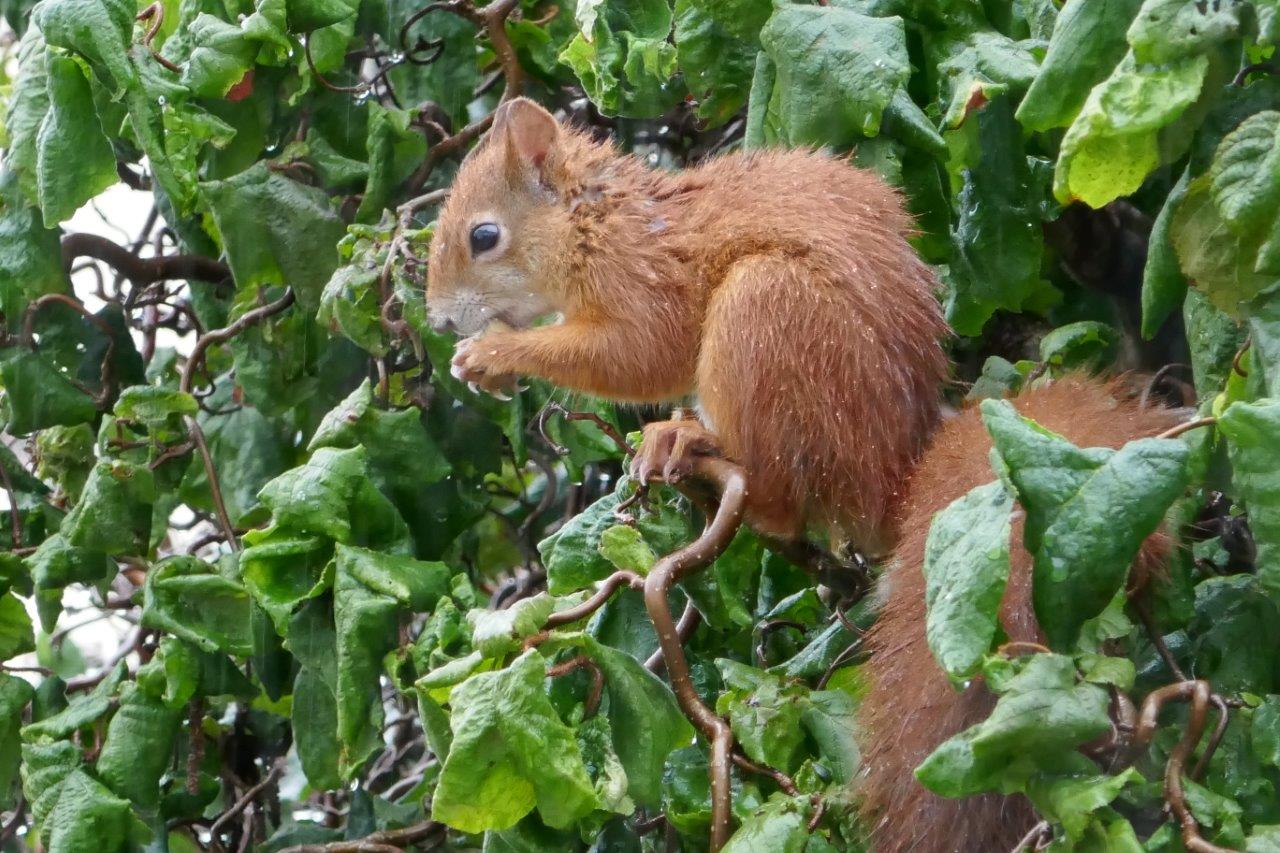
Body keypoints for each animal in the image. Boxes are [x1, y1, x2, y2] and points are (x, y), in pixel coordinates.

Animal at [430, 97, 1187, 845]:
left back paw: (695, 443)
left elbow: (640, 354)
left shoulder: (645, 280)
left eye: (484, 236)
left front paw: (495, 354)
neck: (597, 219)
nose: (438, 322)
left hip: (767, 311)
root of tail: (889, 475)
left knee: (780, 499)